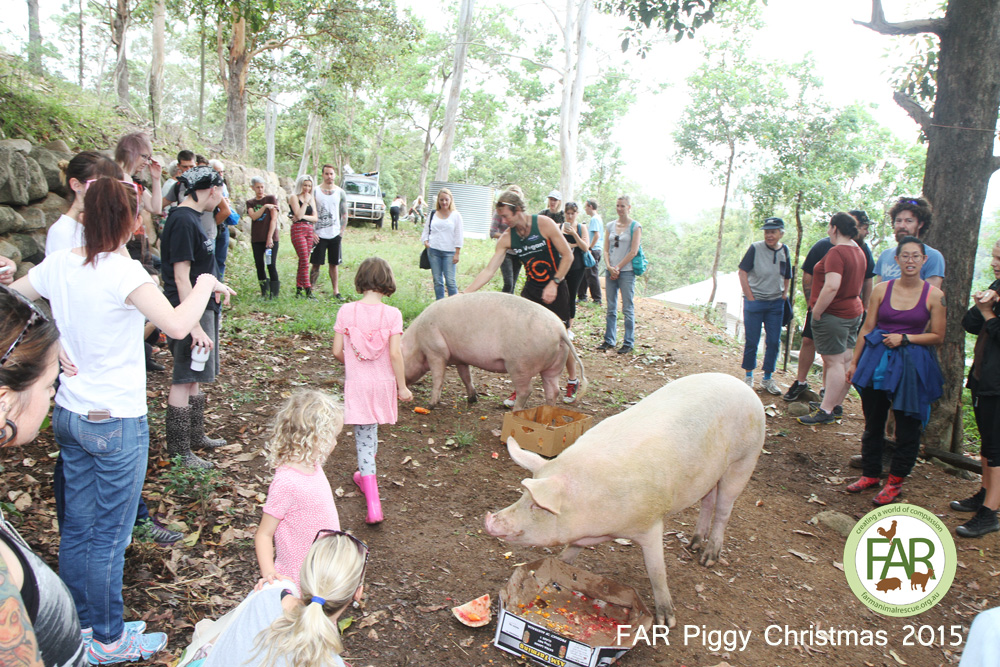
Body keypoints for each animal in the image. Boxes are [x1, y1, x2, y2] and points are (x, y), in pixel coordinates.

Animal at [400, 294, 584, 410]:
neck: (416, 342)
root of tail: (559, 330)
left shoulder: (435, 351)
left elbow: (438, 378)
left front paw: (430, 405)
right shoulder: (460, 358)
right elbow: (466, 377)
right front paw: (473, 399)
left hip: (520, 365)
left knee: (526, 391)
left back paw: (515, 412)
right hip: (555, 366)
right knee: (553, 390)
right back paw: (547, 413)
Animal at [484, 374, 764, 628]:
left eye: (536, 505)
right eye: (522, 496)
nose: (490, 519)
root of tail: (743, 387)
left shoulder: (651, 523)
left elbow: (656, 571)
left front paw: (667, 621)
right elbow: (569, 552)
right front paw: (559, 567)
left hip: (745, 460)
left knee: (724, 509)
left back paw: (708, 558)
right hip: (711, 473)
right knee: (708, 500)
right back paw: (694, 544)